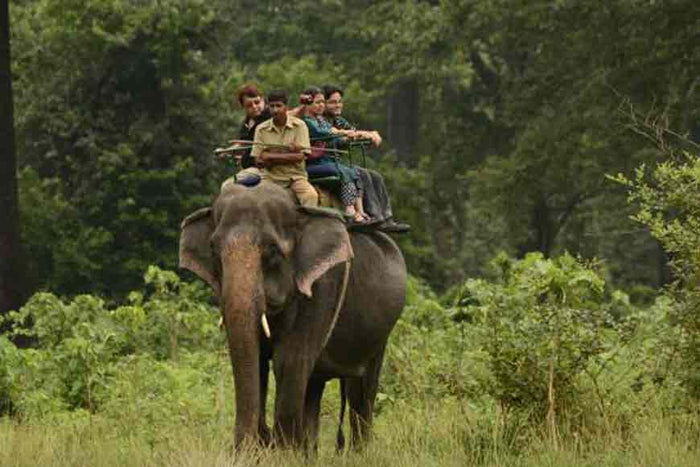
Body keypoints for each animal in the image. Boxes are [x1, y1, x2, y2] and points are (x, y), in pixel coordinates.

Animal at [178, 182, 406, 450]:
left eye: (272, 250)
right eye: (214, 250)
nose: (260, 440)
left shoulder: (322, 286)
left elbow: (289, 361)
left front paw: (282, 451)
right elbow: (257, 361)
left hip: (381, 332)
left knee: (361, 392)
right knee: (314, 388)